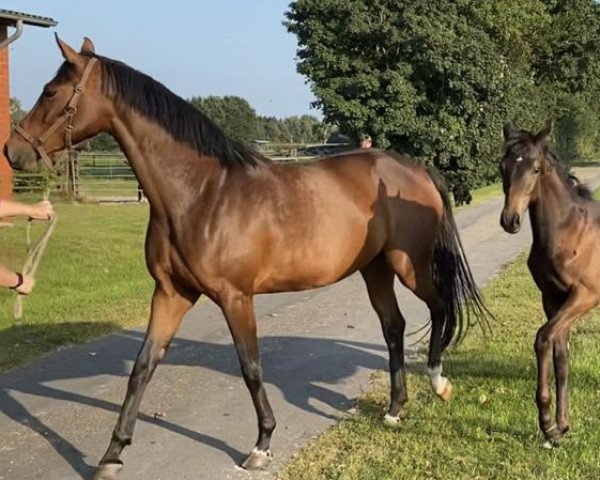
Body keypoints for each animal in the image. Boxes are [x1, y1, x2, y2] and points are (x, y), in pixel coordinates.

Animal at [4, 35, 490, 478]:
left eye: (51, 92)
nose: (14, 151)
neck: (200, 194)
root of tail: (414, 169)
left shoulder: (235, 297)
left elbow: (251, 366)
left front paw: (261, 445)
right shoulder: (170, 294)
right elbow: (142, 368)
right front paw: (112, 455)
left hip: (410, 266)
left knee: (441, 306)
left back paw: (438, 381)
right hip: (374, 269)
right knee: (394, 328)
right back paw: (394, 408)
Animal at [500, 123, 600, 446]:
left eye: (535, 169)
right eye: (503, 167)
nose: (510, 220)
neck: (569, 231)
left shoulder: (584, 296)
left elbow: (543, 338)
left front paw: (547, 423)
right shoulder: (552, 298)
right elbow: (561, 356)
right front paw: (561, 426)